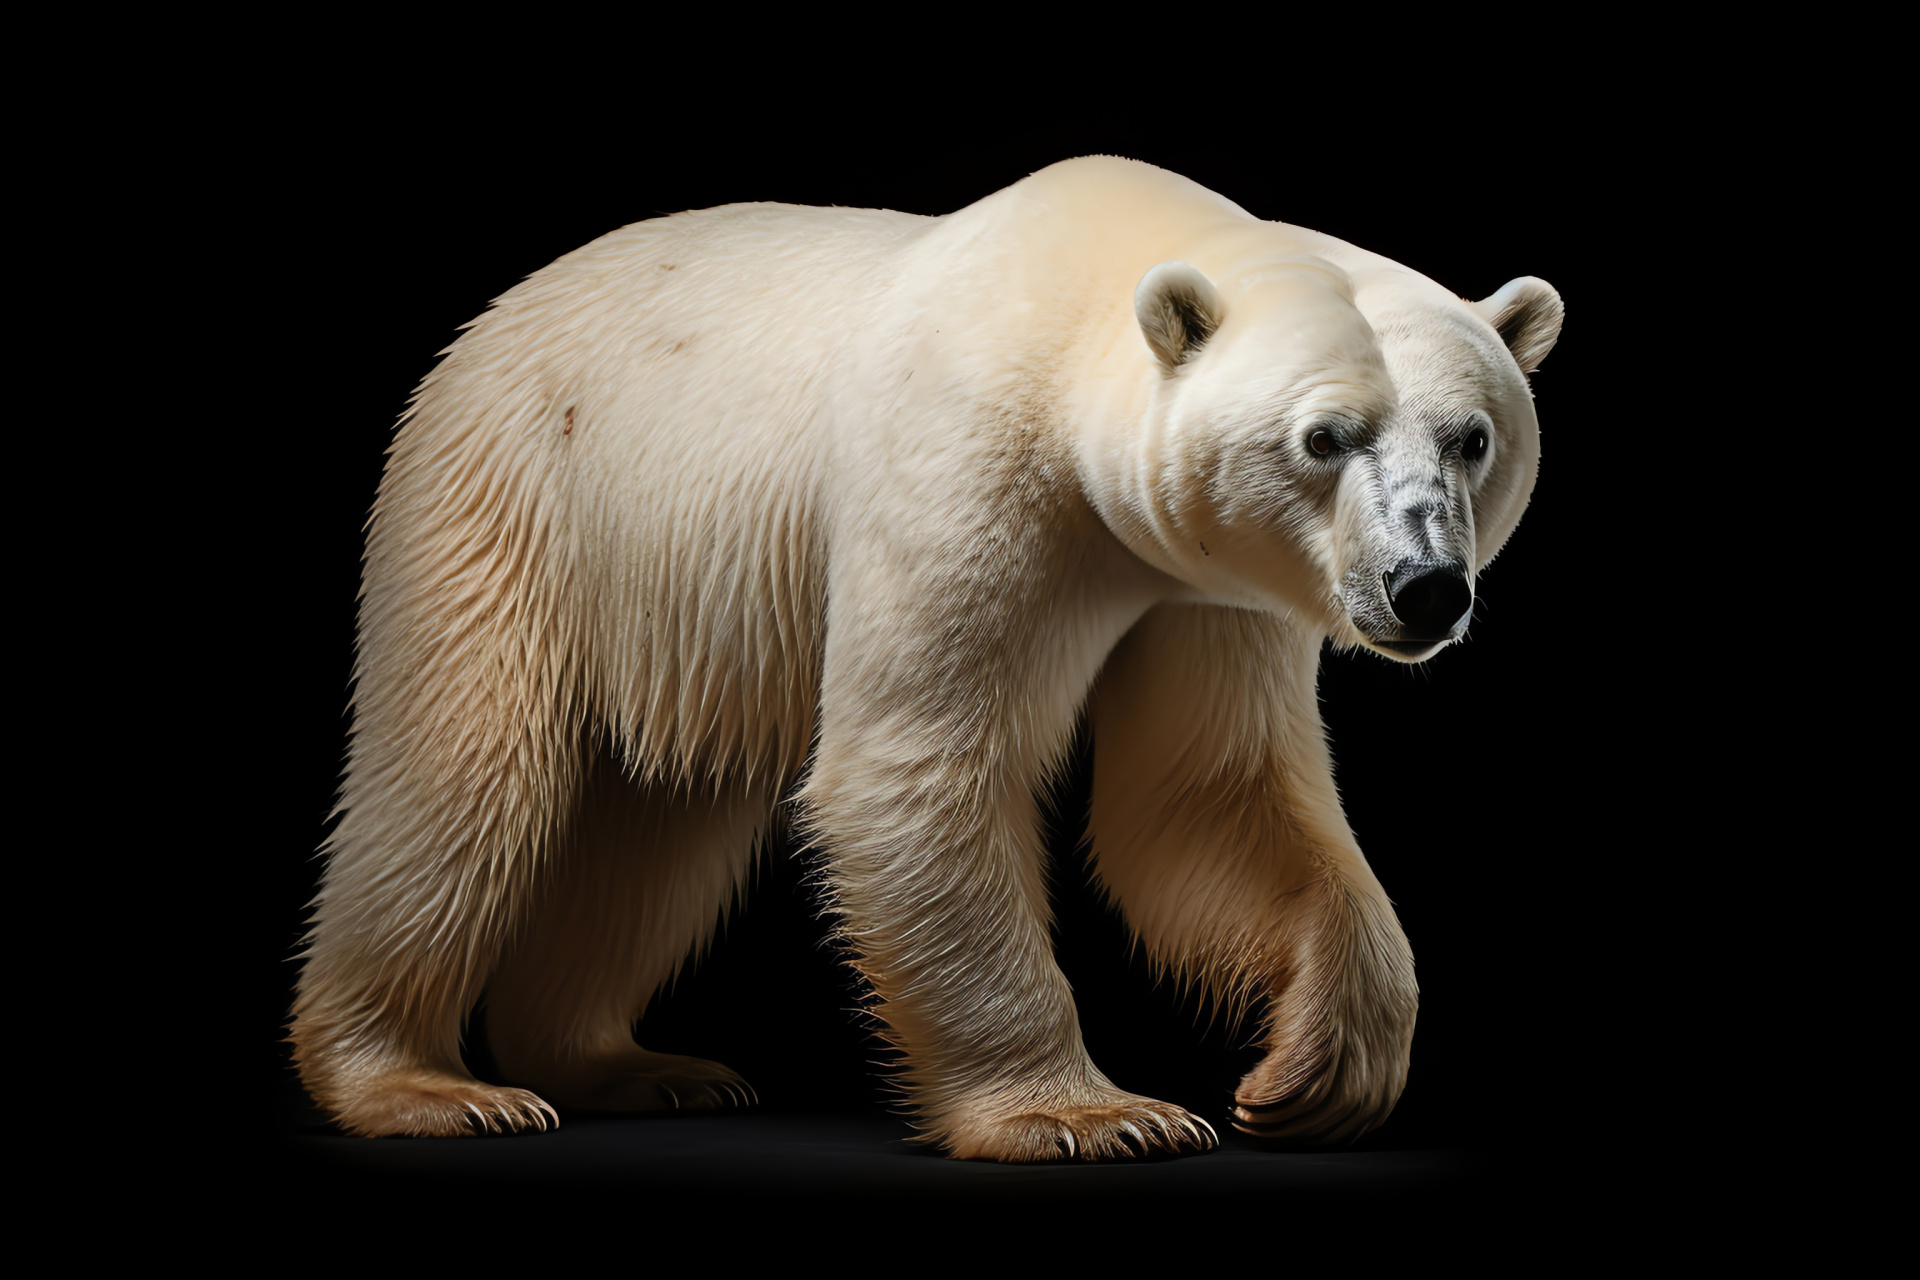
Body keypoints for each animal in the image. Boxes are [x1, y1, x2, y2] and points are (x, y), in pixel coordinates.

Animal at [295, 152, 1559, 1159]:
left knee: (658, 823)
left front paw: (1311, 1070)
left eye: (1472, 435)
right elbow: (921, 766)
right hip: (513, 498)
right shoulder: (970, 472)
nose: (1426, 585)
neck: (1083, 296)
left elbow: (1206, 790)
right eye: (1324, 436)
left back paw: (628, 1062)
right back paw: (425, 1084)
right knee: (467, 782)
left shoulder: (1210, 583)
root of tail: (494, 316)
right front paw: (1090, 1113)